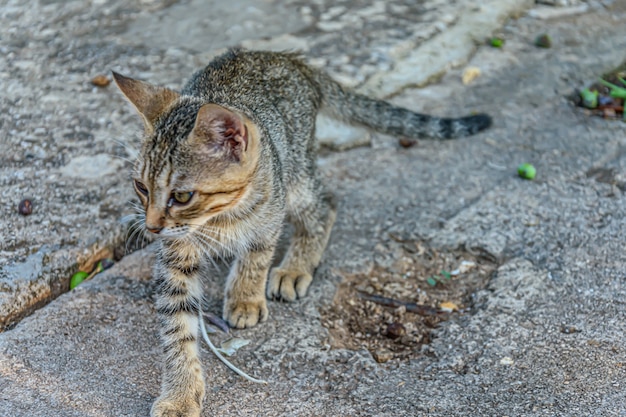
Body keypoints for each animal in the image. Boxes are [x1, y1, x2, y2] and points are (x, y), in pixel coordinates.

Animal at [114, 47, 490, 414]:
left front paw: (246, 297)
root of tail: (288, 58)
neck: (218, 217)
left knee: (327, 203)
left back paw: (295, 267)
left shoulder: (269, 216)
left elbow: (256, 257)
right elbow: (177, 327)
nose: (151, 226)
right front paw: (180, 393)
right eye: (141, 187)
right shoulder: (176, 255)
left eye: (181, 196)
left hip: (296, 176)